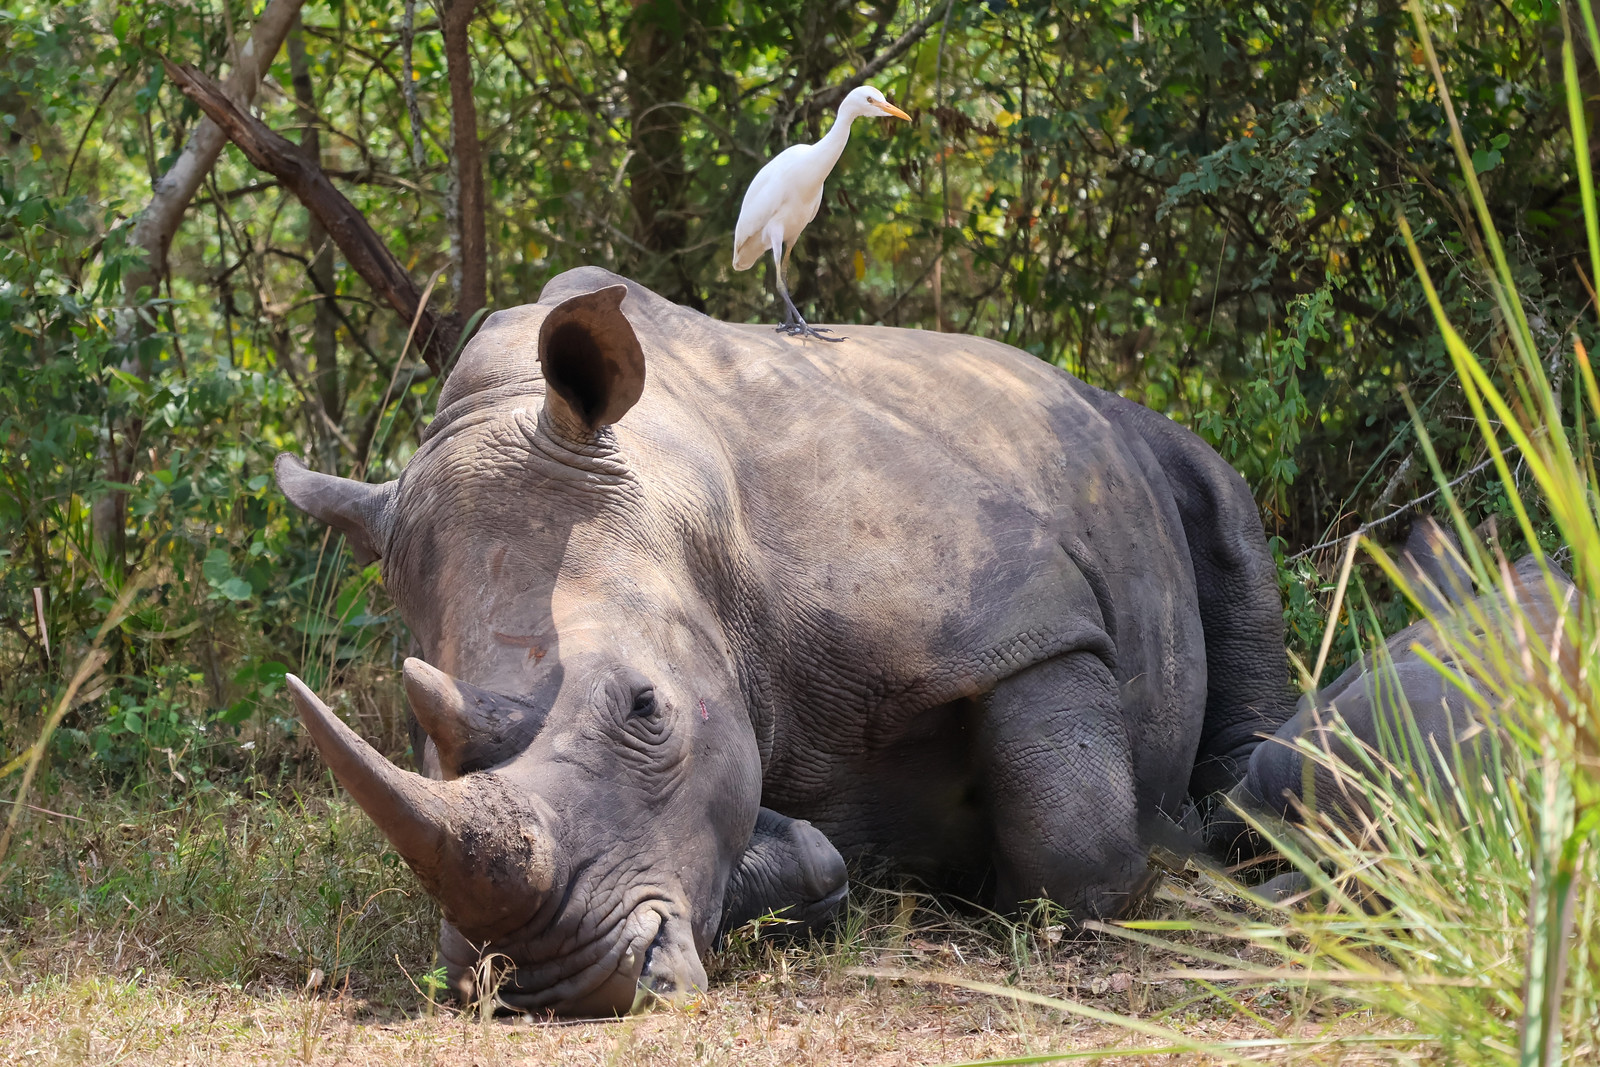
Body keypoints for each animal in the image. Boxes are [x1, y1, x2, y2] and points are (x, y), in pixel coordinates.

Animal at [276, 267, 1295, 1015]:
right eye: (422, 747)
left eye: (646, 708)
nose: (550, 983)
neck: (683, 503)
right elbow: (771, 842)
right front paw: (816, 863)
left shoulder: (1018, 602)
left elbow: (1078, 850)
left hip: (1122, 428)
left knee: (1217, 495)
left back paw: (1227, 824)